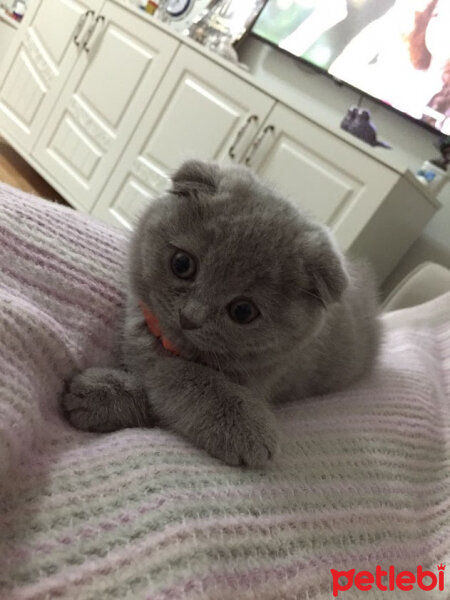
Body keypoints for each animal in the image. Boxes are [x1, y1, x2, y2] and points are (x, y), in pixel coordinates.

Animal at [62, 161, 380, 468]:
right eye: (182, 264)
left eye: (243, 311)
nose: (189, 317)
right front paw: (104, 391)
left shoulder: (270, 375)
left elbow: (180, 379)